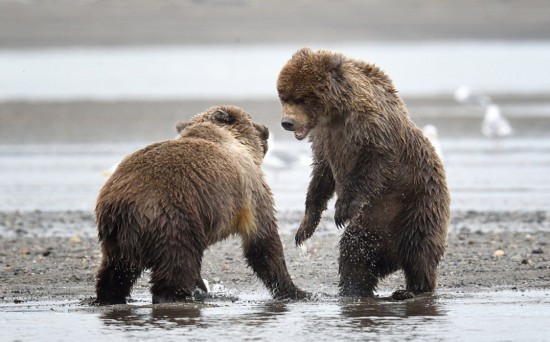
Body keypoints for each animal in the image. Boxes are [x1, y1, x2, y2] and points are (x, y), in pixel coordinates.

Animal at [96, 105, 310, 304]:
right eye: (251, 118)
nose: (265, 128)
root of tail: (125, 206)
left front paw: (202, 287)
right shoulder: (250, 188)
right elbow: (263, 240)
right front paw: (297, 291)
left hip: (116, 237)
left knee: (116, 270)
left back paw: (109, 296)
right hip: (174, 219)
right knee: (179, 263)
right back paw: (174, 296)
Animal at [278, 47, 450, 300]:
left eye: (303, 98)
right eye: (284, 96)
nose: (287, 122)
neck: (335, 113)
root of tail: (392, 255)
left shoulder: (371, 127)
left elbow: (372, 163)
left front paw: (342, 209)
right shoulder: (323, 139)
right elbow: (321, 176)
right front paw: (304, 229)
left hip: (418, 202)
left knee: (419, 248)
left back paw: (412, 290)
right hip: (370, 224)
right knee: (356, 252)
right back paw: (354, 289)